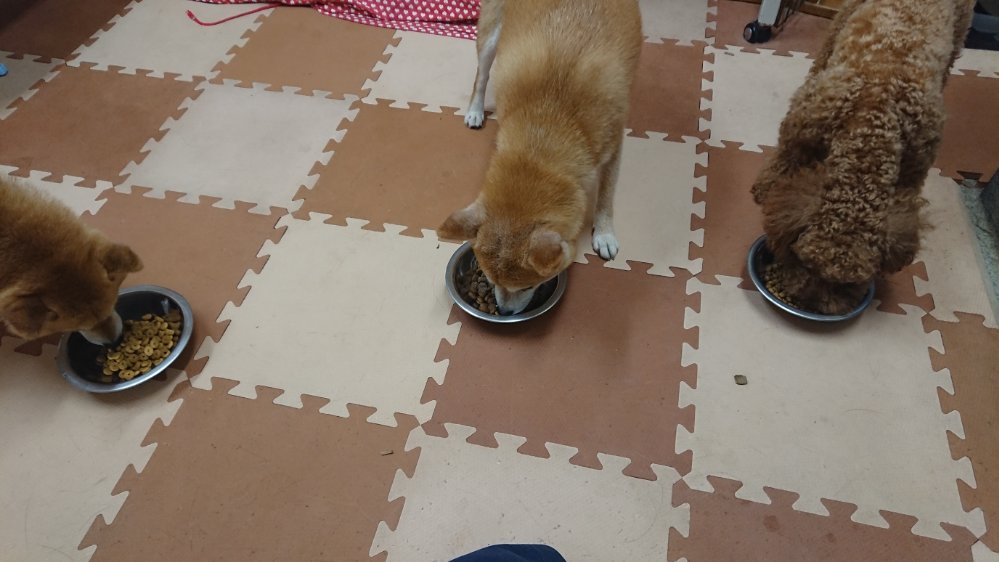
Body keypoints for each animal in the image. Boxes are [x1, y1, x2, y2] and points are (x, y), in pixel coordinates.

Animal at [437, 0, 642, 314]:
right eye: (489, 279)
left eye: (527, 286)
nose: (504, 312)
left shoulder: (614, 142)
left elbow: (606, 196)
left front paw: (604, 233)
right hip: (491, 36)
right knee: (481, 75)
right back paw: (475, 110)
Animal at [750, 0, 974, 315]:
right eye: (805, 262)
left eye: (848, 283)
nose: (812, 304)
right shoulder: (801, 129)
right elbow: (782, 164)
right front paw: (764, 190)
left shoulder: (915, 166)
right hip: (842, 19)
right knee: (823, 56)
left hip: (959, 32)